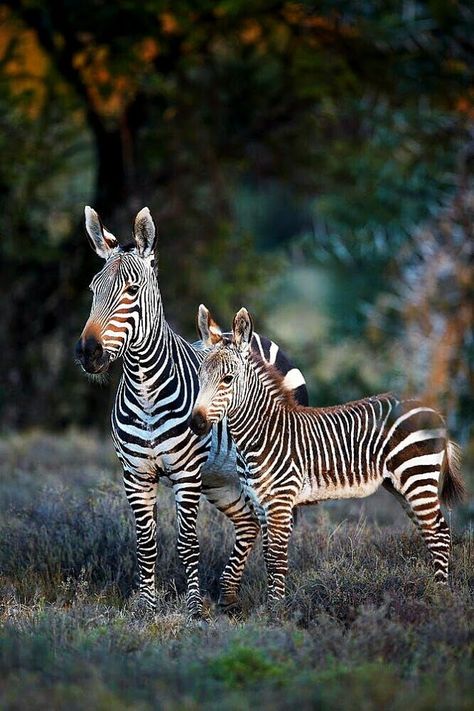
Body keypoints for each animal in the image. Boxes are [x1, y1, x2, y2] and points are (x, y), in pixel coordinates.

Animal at [75, 207, 308, 616]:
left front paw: (194, 608)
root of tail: (245, 335)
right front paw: (146, 607)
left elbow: (187, 543)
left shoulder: (186, 474)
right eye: (93, 290)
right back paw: (228, 596)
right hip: (221, 479)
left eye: (131, 291)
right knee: (249, 522)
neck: (145, 391)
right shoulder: (135, 475)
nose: (89, 352)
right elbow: (146, 542)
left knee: (275, 528)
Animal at [191, 304, 464, 604]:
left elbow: (276, 559)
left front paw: (276, 609)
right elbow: (267, 557)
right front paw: (271, 605)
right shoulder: (261, 503)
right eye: (200, 377)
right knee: (431, 531)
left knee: (439, 534)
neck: (263, 432)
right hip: (402, 485)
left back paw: (439, 596)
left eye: (227, 379)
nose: (196, 423)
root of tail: (432, 411)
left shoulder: (280, 501)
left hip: (417, 476)